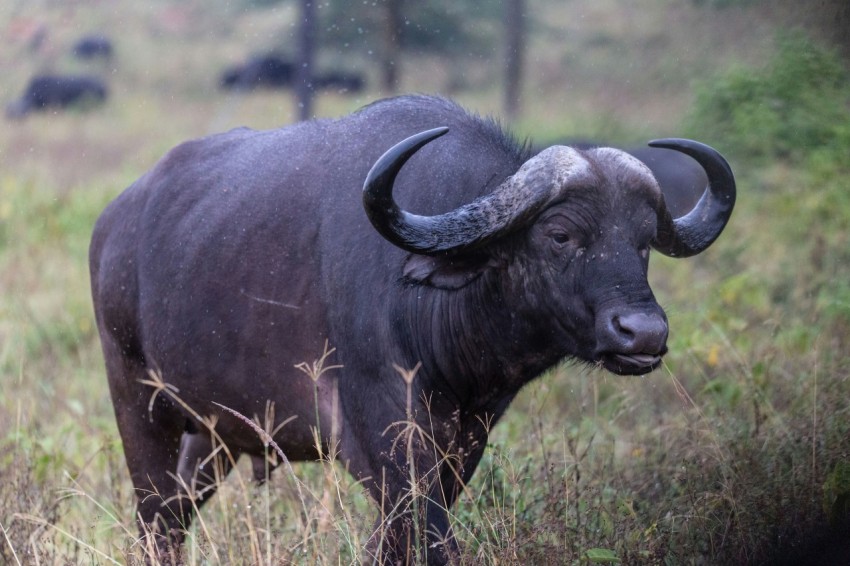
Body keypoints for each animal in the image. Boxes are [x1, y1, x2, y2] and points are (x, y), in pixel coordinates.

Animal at [89, 94, 732, 564]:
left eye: (643, 241)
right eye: (560, 234)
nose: (642, 333)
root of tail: (114, 223)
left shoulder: (465, 440)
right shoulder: (387, 440)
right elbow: (428, 537)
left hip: (211, 435)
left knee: (176, 515)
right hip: (138, 403)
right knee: (154, 516)